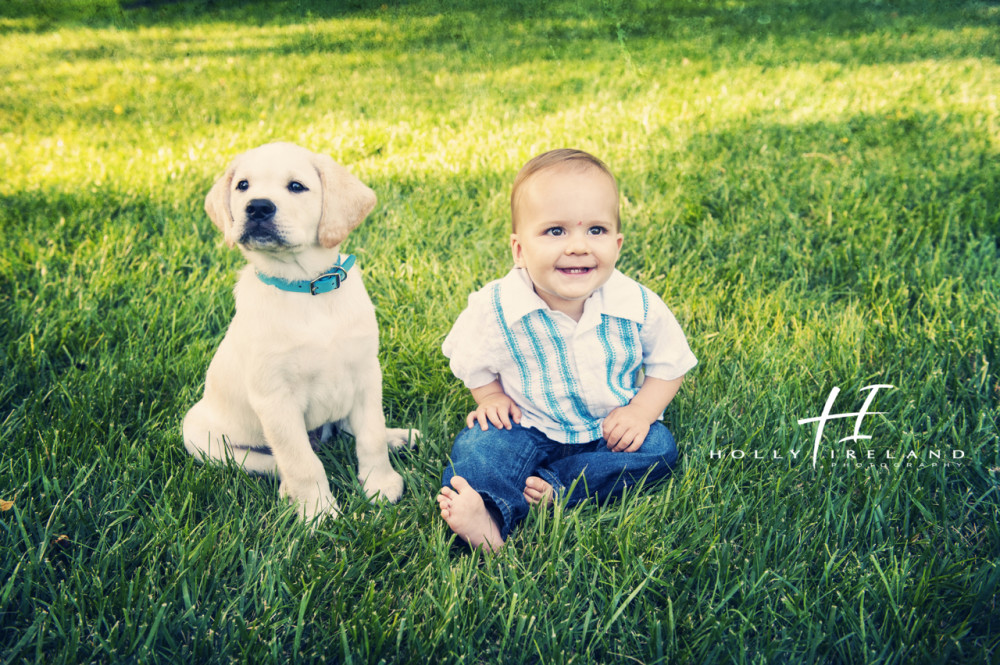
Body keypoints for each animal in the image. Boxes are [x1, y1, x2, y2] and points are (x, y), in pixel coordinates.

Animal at [183, 143, 414, 520]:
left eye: (296, 186)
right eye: (243, 185)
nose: (257, 207)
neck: (306, 289)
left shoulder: (366, 374)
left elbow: (371, 436)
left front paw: (380, 485)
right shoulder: (275, 399)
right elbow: (301, 462)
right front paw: (317, 511)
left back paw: (398, 437)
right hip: (200, 437)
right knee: (275, 463)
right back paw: (288, 491)